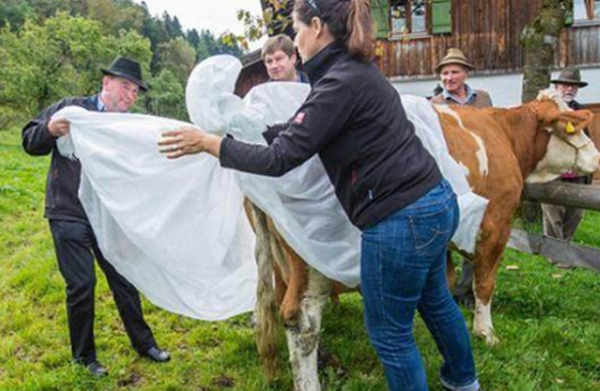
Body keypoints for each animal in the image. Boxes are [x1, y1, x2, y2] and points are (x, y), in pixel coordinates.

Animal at [248, 91, 600, 388]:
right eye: (576, 129)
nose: (596, 158)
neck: (502, 133)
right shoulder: (496, 222)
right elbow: (485, 282)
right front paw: (485, 332)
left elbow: (445, 283)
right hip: (314, 262)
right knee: (301, 321)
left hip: (280, 261)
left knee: (279, 304)